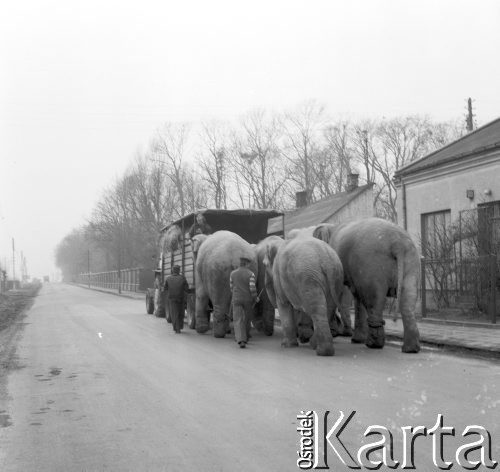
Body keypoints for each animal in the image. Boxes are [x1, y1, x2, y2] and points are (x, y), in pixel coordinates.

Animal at [314, 216, 420, 352]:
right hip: (411, 262)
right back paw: (410, 349)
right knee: (407, 301)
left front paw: (352, 339)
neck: (331, 227)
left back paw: (372, 344)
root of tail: (397, 243)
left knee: (373, 300)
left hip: (371, 266)